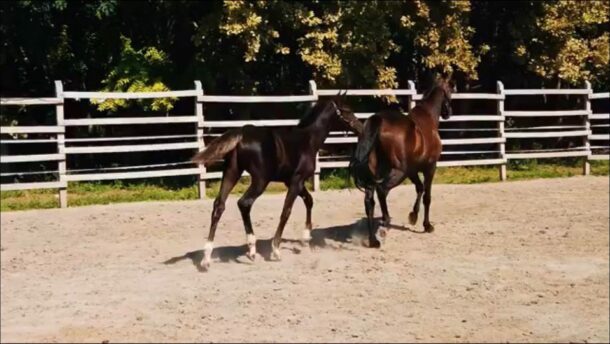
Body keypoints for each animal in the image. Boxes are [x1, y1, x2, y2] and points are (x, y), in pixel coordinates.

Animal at [192, 92, 356, 270]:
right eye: (347, 110)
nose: (359, 125)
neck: (307, 140)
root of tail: (242, 133)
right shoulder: (296, 181)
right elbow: (286, 211)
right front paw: (276, 249)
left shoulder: (292, 181)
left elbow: (309, 200)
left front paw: (306, 238)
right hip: (260, 180)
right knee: (244, 203)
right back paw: (251, 249)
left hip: (231, 173)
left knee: (219, 205)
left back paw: (207, 258)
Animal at [346, 78, 452, 247]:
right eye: (450, 90)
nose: (449, 112)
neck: (428, 118)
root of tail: (378, 121)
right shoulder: (430, 167)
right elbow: (427, 196)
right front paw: (427, 225)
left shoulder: (412, 170)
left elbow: (419, 188)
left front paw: (413, 216)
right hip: (397, 172)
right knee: (382, 190)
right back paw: (385, 222)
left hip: (378, 174)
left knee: (369, 201)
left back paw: (373, 240)